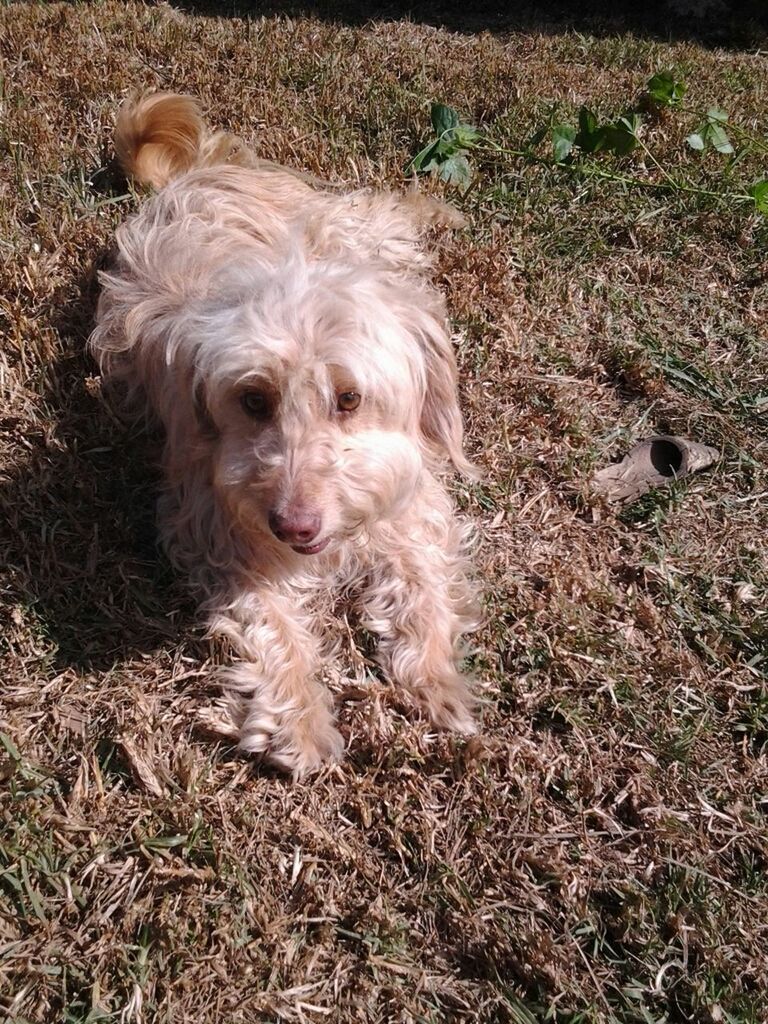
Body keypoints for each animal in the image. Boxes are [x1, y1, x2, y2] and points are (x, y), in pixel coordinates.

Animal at [87, 94, 479, 774]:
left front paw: (437, 681)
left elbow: (423, 587)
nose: (293, 526)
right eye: (253, 399)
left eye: (349, 398)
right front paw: (301, 722)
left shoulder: (409, 502)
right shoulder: (217, 529)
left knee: (387, 205)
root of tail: (193, 175)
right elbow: (272, 627)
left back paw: (435, 205)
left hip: (347, 224)